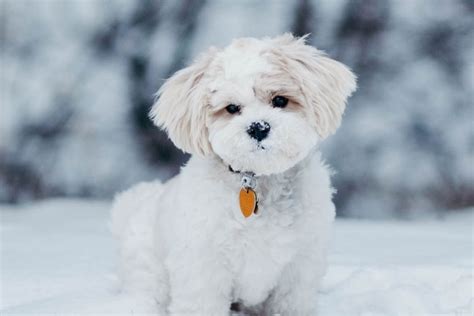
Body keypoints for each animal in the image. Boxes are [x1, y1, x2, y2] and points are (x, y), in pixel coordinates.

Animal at [111, 33, 356, 314]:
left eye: (280, 100)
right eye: (231, 108)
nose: (259, 127)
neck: (258, 180)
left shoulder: (299, 269)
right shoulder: (203, 266)